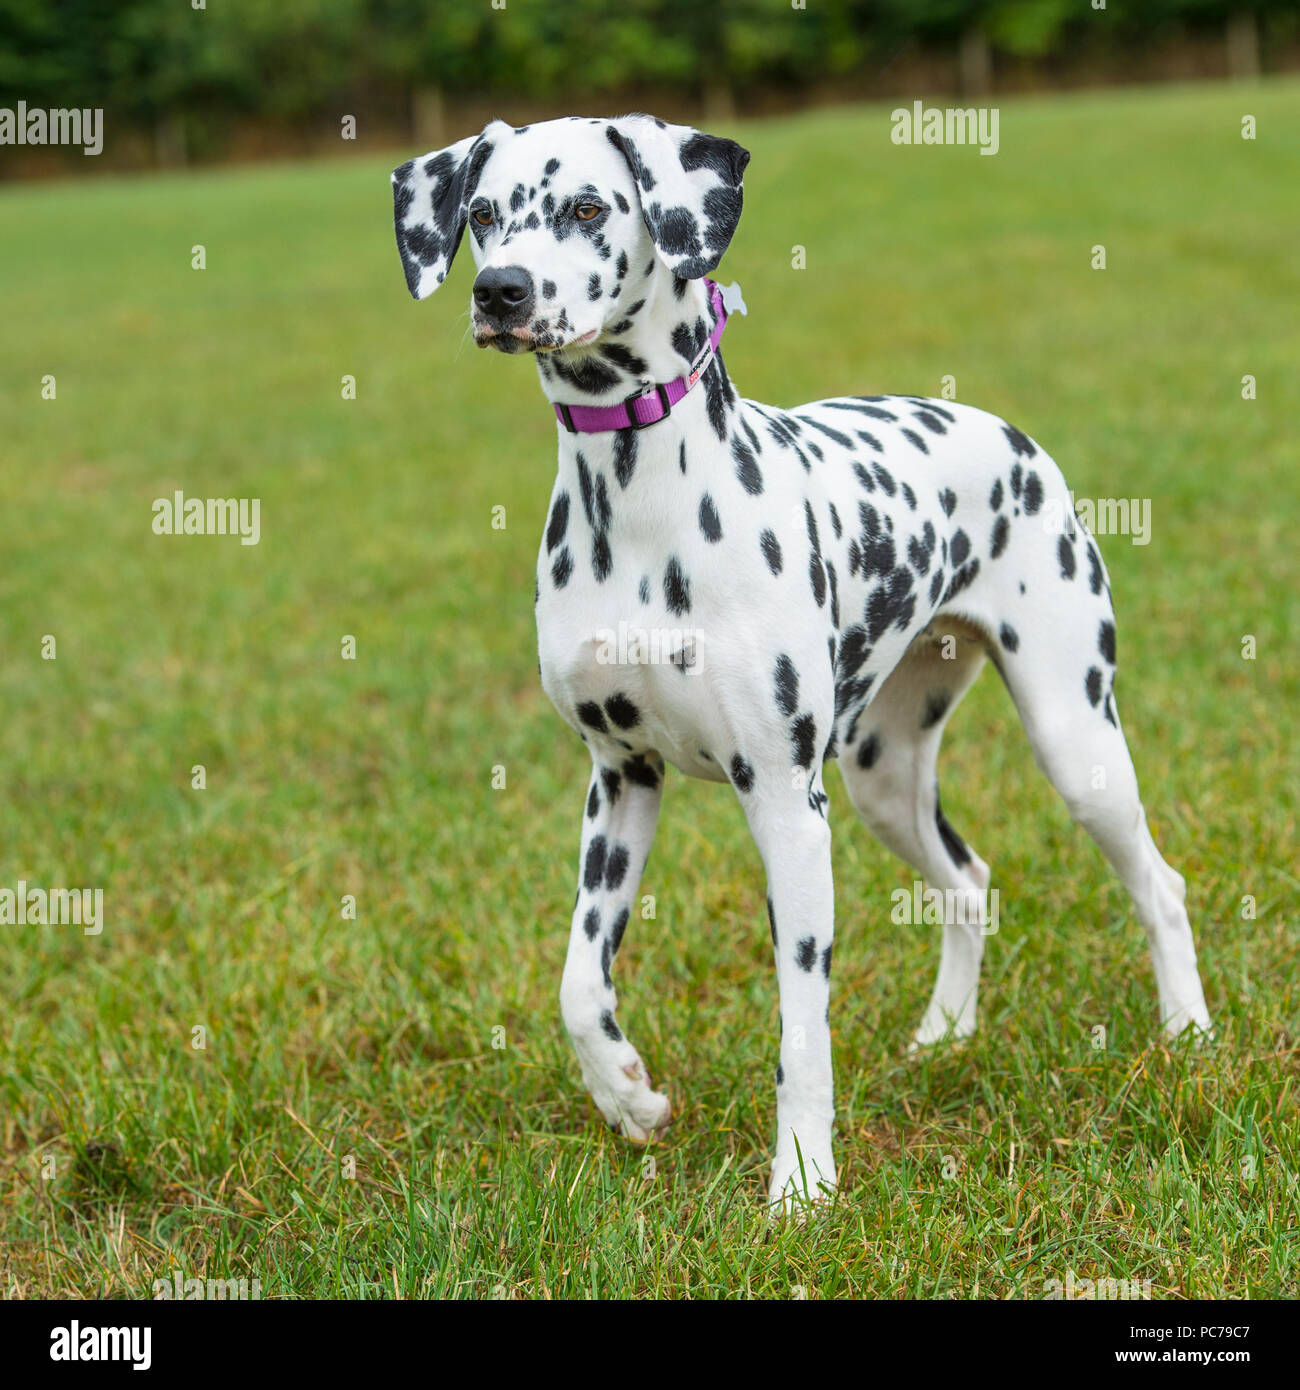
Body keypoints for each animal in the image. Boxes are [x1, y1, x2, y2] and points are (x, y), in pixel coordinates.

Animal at [392, 116, 1212, 1206]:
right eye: (482, 214)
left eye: (587, 206)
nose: (500, 293)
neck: (640, 506)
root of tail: (1005, 432)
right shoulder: (621, 778)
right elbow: (575, 984)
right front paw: (628, 1098)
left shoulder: (784, 801)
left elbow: (800, 1029)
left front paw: (803, 1184)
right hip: (883, 775)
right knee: (968, 879)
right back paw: (946, 1033)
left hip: (1074, 740)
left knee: (1158, 884)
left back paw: (1188, 1033)